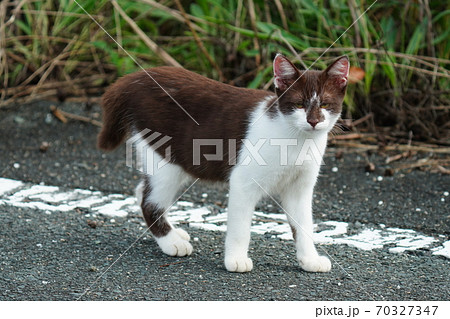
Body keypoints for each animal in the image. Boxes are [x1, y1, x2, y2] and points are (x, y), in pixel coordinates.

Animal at [98, 53, 350, 274]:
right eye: (299, 104)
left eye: (325, 105)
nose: (313, 121)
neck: (297, 141)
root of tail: (134, 78)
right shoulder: (243, 181)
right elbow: (240, 226)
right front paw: (236, 260)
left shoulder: (300, 187)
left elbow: (304, 224)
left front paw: (310, 260)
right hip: (165, 155)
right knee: (150, 202)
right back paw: (171, 243)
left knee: (142, 190)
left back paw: (173, 233)